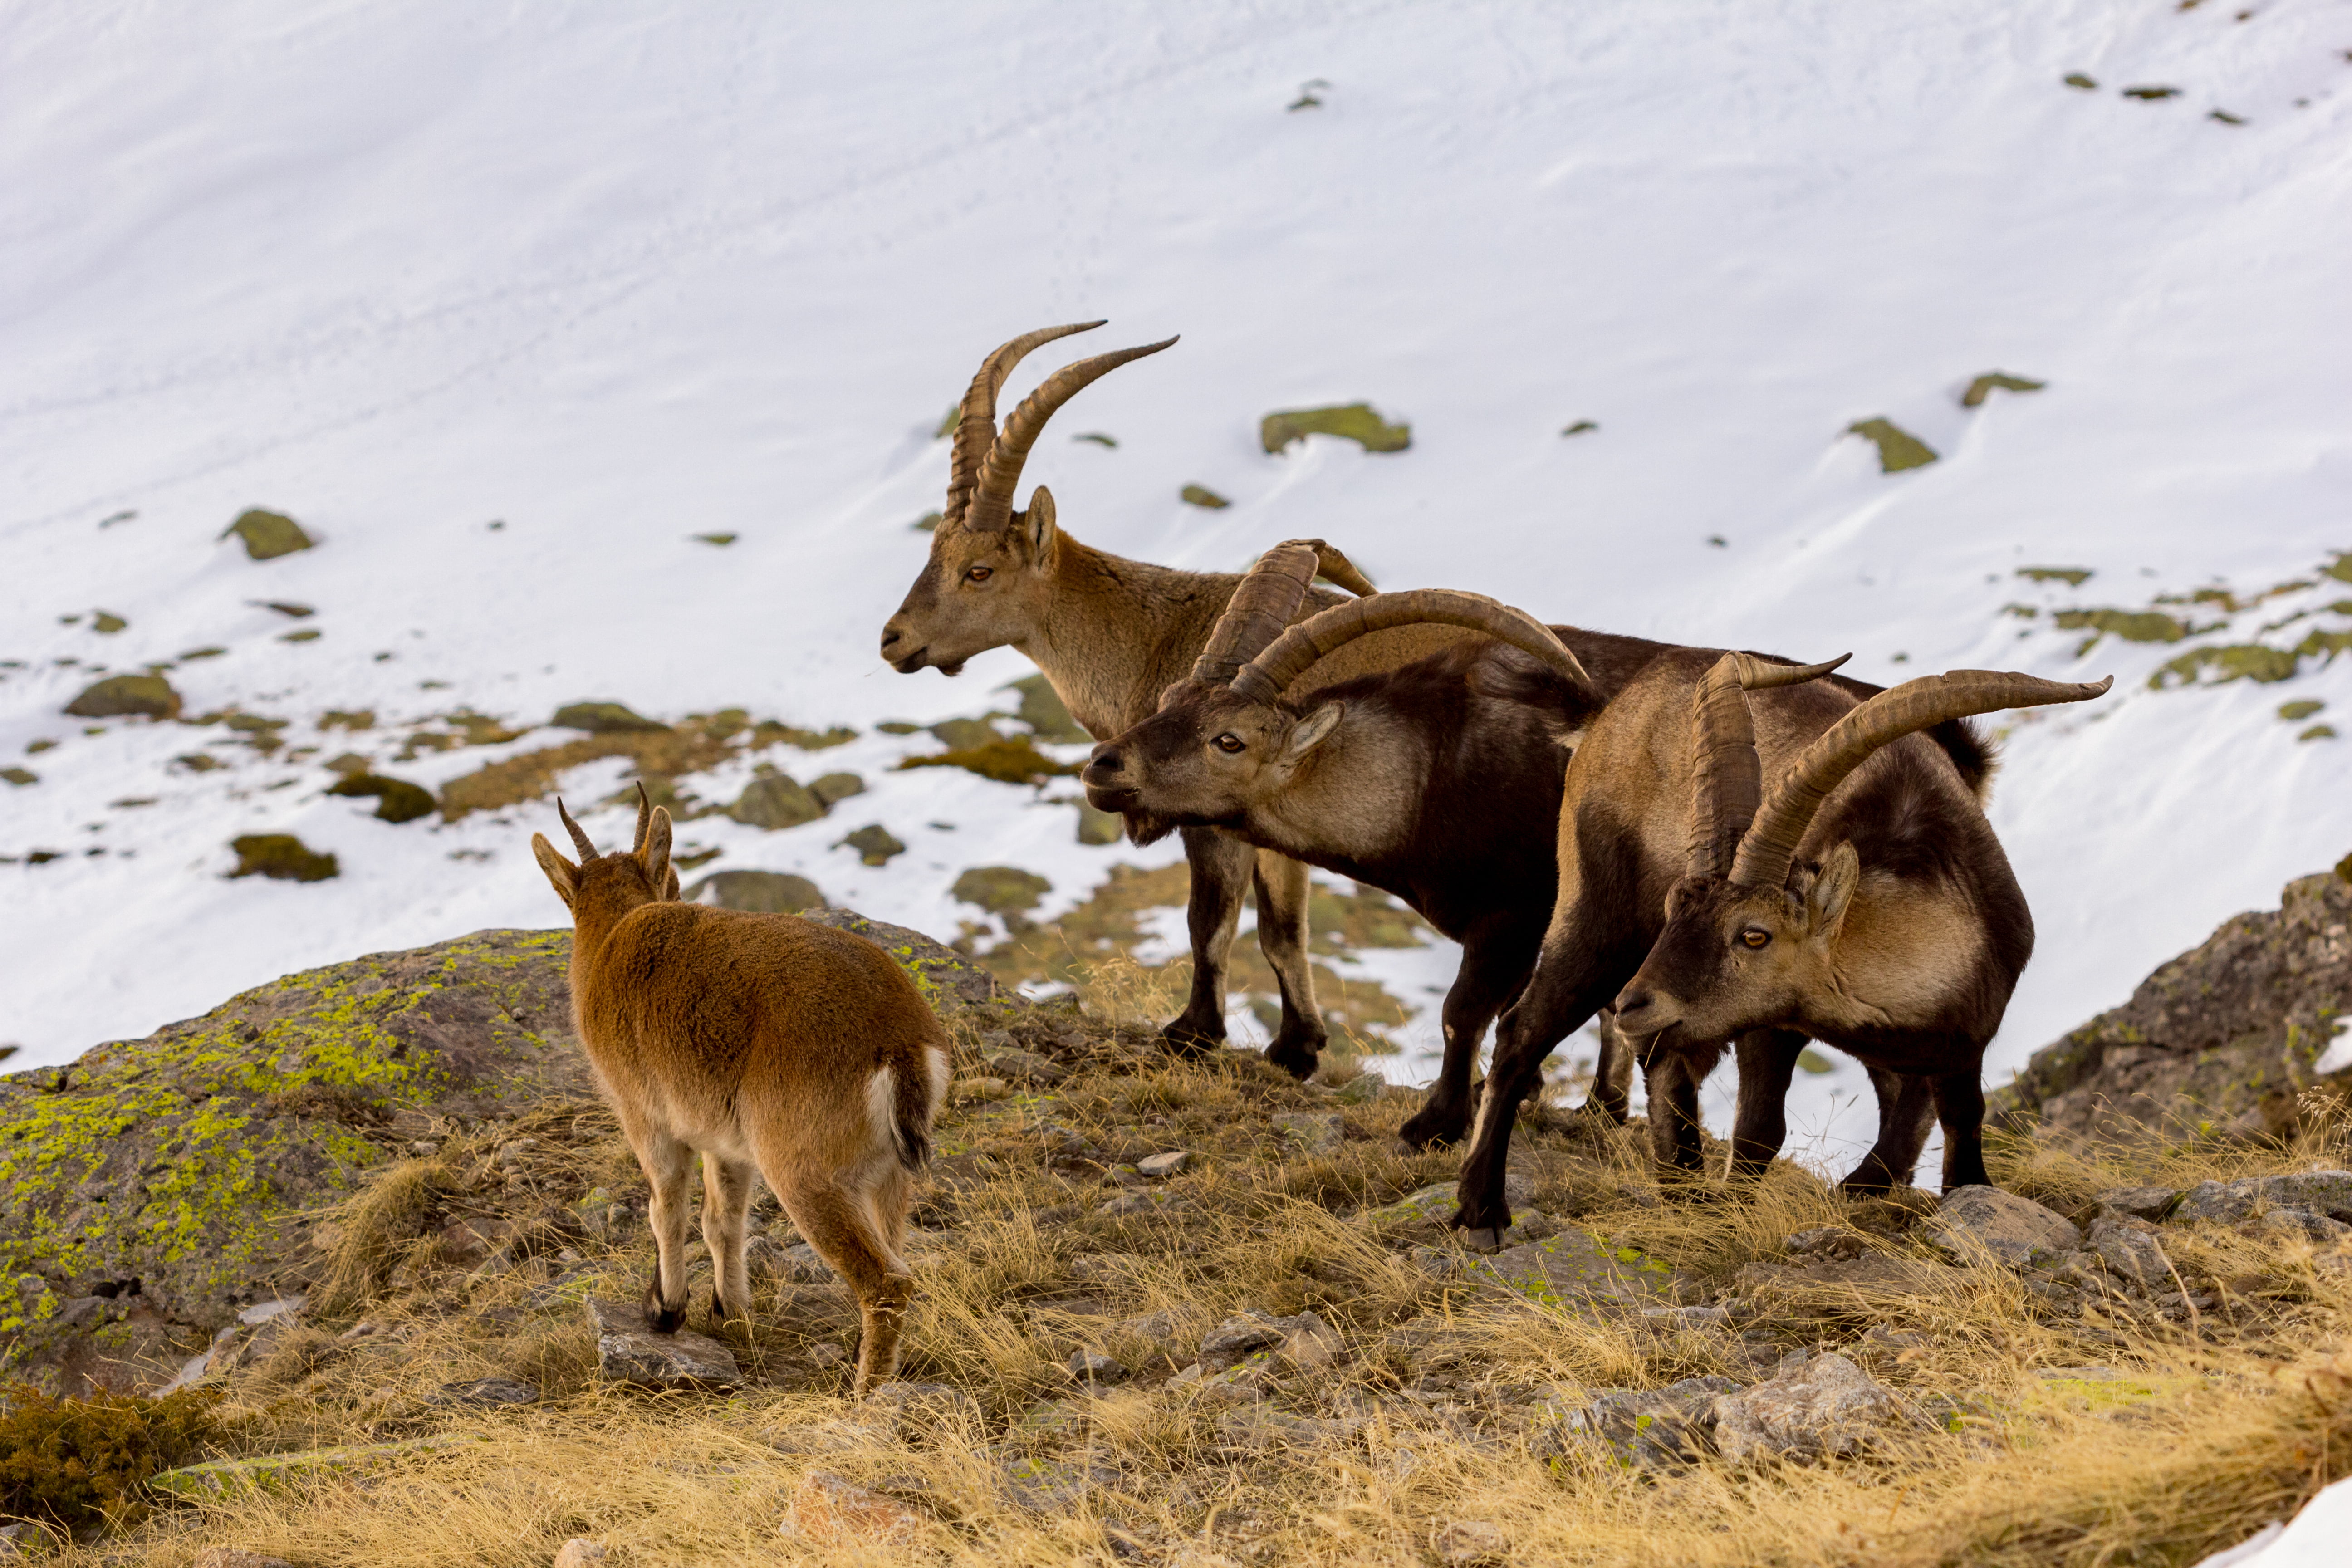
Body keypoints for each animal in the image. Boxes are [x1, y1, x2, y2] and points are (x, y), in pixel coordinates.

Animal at [530, 788, 950, 1396]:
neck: (613, 938)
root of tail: (900, 1042)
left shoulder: (647, 1119)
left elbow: (667, 1207)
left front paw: (666, 1309)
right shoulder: (725, 1142)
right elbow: (723, 1218)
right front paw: (729, 1309)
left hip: (803, 1171)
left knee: (887, 1283)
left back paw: (864, 1394)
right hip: (886, 1174)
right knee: (894, 1253)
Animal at [881, 321, 1491, 1081]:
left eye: (979, 570)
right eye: (933, 554)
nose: (894, 640)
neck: (1159, 635)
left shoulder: (1211, 811)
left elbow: (1211, 923)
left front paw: (1195, 1033)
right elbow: (1283, 930)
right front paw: (1298, 1047)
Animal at [1079, 543, 1994, 1158]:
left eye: (1227, 739)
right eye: (1171, 697)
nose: (1104, 768)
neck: (1427, 764)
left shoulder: (1516, 917)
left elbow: (1462, 1015)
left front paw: (1438, 1122)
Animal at [1447, 651, 2109, 1244]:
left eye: (1754, 934)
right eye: (1674, 907)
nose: (1638, 1003)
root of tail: (1608, 715)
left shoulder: (1961, 1045)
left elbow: (1957, 1139)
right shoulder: (1769, 1026)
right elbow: (1761, 1130)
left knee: (1662, 1065)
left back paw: (1679, 1184)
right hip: (1595, 915)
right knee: (1523, 1030)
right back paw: (1483, 1211)